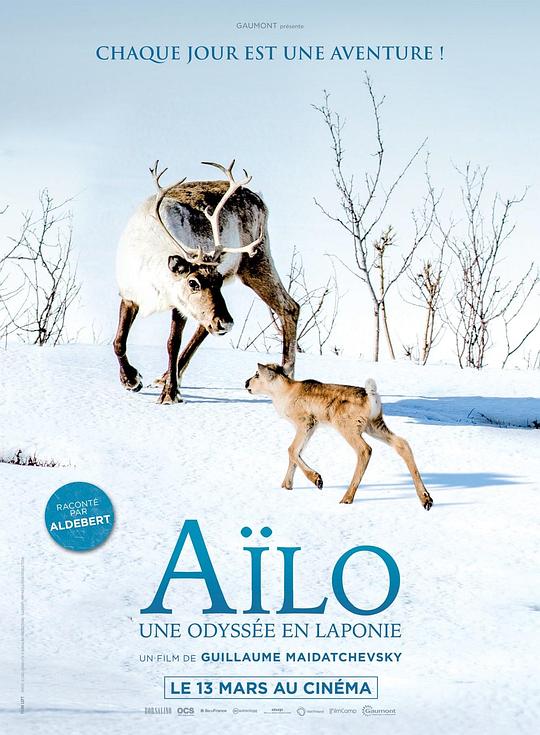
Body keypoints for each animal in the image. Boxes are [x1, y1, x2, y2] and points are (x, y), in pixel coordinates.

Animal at [114, 160, 299, 403]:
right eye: (193, 283)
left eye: (218, 279)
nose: (227, 323)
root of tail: (261, 201)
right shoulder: (129, 295)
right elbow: (119, 341)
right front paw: (131, 380)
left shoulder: (179, 305)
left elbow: (172, 343)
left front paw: (170, 394)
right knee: (205, 326)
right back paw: (164, 377)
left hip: (256, 260)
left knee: (289, 306)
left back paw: (286, 374)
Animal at [245, 363, 434, 509]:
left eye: (257, 374)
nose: (246, 383)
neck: (283, 393)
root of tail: (372, 396)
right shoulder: (311, 427)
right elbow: (296, 453)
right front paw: (286, 486)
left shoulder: (306, 422)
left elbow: (291, 450)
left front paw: (317, 480)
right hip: (374, 425)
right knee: (402, 443)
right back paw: (426, 499)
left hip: (347, 427)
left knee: (365, 450)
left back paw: (346, 498)